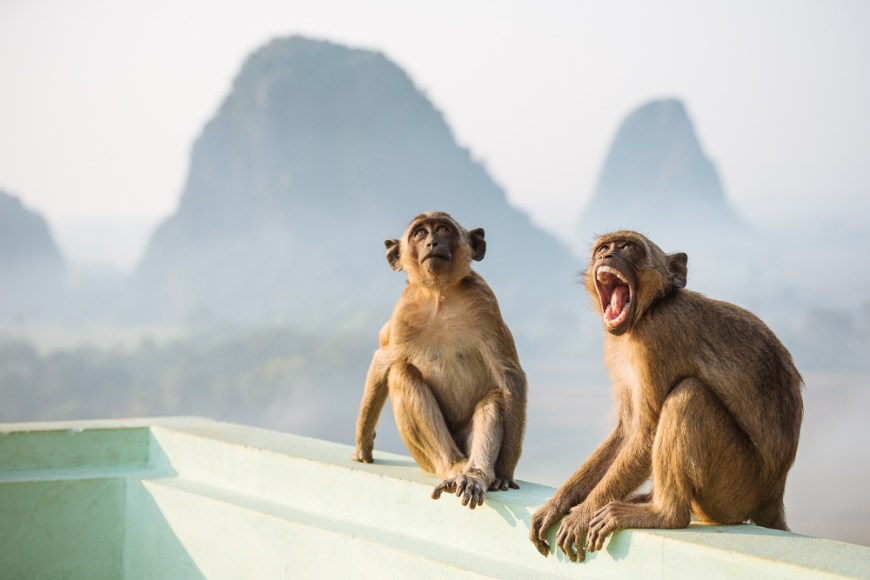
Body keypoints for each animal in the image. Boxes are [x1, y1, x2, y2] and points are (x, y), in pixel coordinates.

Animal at [352, 211, 527, 509]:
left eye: (443, 230)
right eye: (420, 233)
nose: (432, 242)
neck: (440, 295)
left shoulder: (485, 303)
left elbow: (510, 376)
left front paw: (504, 471)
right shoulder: (403, 313)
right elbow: (383, 360)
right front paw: (363, 442)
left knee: (493, 399)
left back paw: (475, 475)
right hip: (426, 458)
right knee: (402, 373)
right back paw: (454, 468)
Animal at [529, 230, 803, 562]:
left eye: (628, 247)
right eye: (603, 248)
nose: (607, 256)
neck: (649, 310)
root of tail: (774, 492)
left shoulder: (659, 335)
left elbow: (646, 432)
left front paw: (583, 511)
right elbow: (627, 430)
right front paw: (559, 503)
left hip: (736, 488)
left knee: (689, 395)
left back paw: (665, 514)